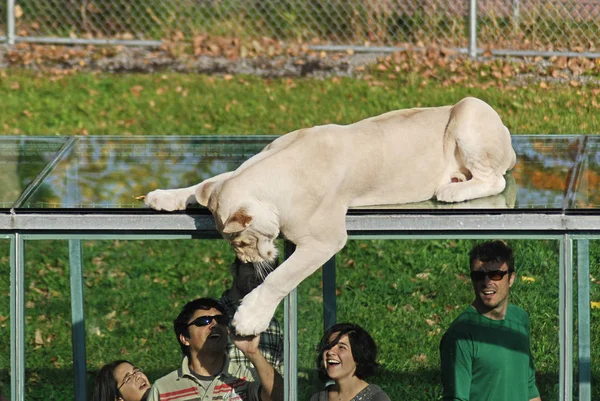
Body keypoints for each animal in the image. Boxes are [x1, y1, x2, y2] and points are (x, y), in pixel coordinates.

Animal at [145, 96, 516, 334]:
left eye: (242, 243)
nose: (247, 264)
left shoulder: (324, 239)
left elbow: (282, 276)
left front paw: (249, 318)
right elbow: (203, 183)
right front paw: (161, 196)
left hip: (471, 109)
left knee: (495, 179)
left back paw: (452, 189)